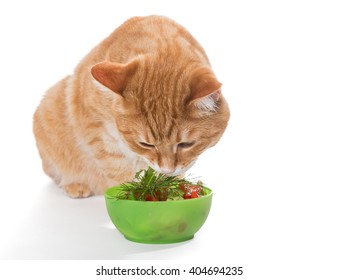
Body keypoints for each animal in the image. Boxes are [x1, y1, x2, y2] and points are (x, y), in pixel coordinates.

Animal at [33, 15, 230, 198]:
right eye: (145, 144)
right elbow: (118, 171)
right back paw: (76, 185)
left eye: (186, 144)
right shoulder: (97, 132)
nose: (166, 169)